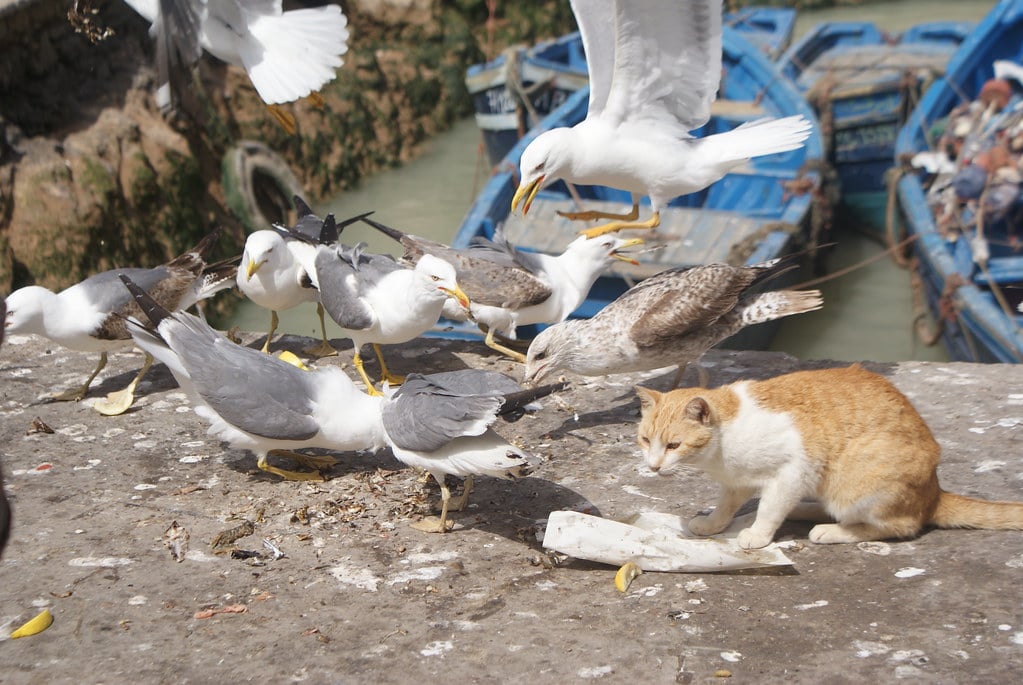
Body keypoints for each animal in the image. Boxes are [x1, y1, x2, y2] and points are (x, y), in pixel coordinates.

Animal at [634, 363, 1023, 552]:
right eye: (645, 440)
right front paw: (714, 523)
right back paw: (804, 512)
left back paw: (831, 530)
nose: (652, 467)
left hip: (856, 481)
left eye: (673, 445)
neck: (722, 447)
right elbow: (727, 507)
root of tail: (934, 493)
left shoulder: (794, 470)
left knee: (900, 525)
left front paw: (757, 534)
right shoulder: (738, 482)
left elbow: (770, 510)